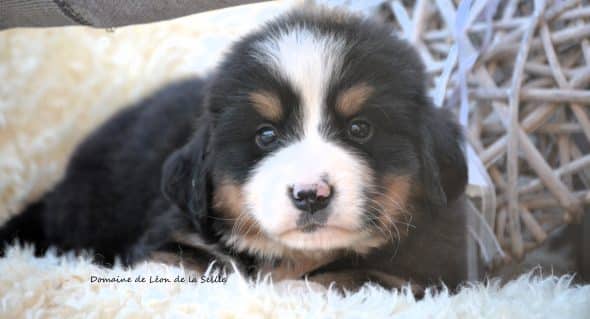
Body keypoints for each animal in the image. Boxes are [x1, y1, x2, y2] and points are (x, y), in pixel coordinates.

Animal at [1, 6, 472, 292]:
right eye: (265, 135)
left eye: (360, 128)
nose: (310, 194)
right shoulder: (175, 233)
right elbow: (184, 264)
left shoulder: (424, 270)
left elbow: (346, 277)